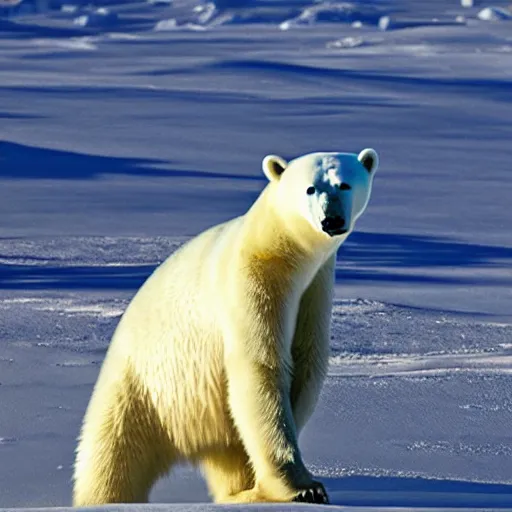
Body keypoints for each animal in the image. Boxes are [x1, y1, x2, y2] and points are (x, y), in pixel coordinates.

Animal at [74, 147, 380, 504]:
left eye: (344, 184)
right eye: (310, 188)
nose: (331, 220)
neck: (279, 249)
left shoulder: (315, 288)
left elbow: (306, 363)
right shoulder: (252, 281)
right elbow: (259, 365)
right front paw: (304, 488)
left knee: (228, 453)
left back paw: (240, 492)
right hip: (143, 389)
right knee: (111, 455)